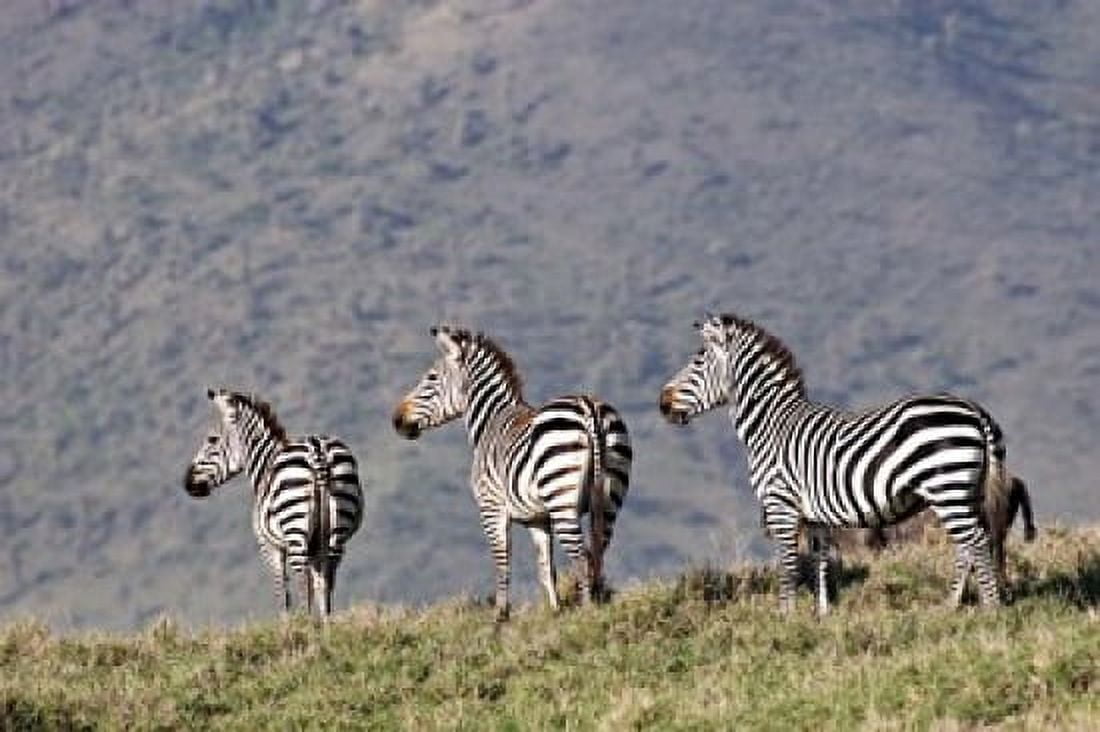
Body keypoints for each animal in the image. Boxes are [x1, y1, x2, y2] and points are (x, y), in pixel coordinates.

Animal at [183, 388, 364, 620]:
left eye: (212, 439)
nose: (187, 483)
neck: (265, 464)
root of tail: (317, 449)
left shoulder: (270, 546)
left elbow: (283, 592)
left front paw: (287, 624)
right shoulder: (316, 546)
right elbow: (318, 584)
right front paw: (323, 624)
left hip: (295, 527)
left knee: (302, 581)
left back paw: (305, 621)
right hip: (337, 528)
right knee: (327, 579)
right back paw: (325, 622)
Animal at [392, 326, 632, 622]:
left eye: (431, 378)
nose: (396, 419)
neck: (490, 420)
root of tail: (588, 407)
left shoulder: (491, 507)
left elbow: (501, 562)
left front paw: (500, 616)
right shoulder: (537, 518)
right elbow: (545, 568)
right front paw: (555, 613)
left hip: (562, 498)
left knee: (582, 556)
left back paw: (587, 614)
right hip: (610, 497)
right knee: (598, 552)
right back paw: (596, 607)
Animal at [658, 313, 1007, 614]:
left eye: (698, 361)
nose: (662, 403)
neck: (772, 424)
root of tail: (975, 411)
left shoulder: (781, 504)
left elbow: (789, 565)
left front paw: (785, 617)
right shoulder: (815, 516)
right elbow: (821, 561)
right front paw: (822, 614)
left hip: (948, 486)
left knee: (975, 541)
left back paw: (989, 609)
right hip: (964, 491)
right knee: (969, 545)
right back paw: (951, 606)